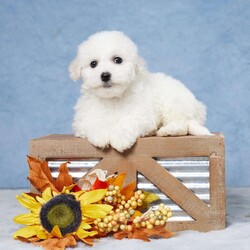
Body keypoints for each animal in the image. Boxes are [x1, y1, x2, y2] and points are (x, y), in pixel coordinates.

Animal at [69, 31, 212, 152]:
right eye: (93, 64)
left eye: (118, 60)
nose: (105, 75)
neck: (114, 98)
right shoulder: (82, 118)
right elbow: (92, 122)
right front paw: (101, 136)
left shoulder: (143, 114)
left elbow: (128, 122)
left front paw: (120, 139)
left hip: (175, 101)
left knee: (182, 125)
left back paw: (166, 131)